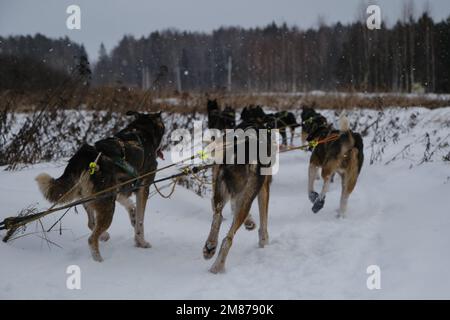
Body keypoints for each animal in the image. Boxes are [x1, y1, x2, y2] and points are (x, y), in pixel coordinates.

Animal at [35, 111, 165, 262]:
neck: (141, 131)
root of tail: (84, 156)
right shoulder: (143, 188)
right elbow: (140, 221)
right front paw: (141, 242)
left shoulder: (118, 187)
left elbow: (129, 206)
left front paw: (132, 213)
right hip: (107, 204)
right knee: (92, 238)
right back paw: (99, 259)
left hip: (94, 199)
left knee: (91, 224)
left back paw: (104, 236)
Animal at [204, 115, 274, 272]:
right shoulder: (264, 188)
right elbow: (264, 222)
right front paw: (264, 242)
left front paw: (250, 222)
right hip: (247, 196)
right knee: (228, 239)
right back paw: (217, 267)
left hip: (221, 188)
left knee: (217, 216)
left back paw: (210, 246)